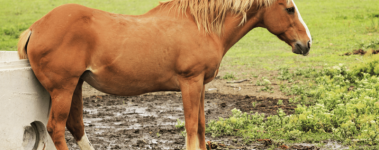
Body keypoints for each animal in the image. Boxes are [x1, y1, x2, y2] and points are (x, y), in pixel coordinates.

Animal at [17, 0, 312, 149]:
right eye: (289, 8)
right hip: (64, 89)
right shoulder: (190, 82)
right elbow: (192, 128)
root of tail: (35, 27)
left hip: (76, 85)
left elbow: (201, 127)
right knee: (56, 128)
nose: (306, 43)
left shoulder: (201, 85)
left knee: (75, 126)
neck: (201, 26)